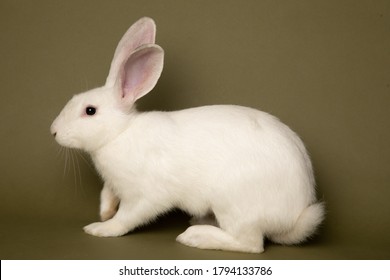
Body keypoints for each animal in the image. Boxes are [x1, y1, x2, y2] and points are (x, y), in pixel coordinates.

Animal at [52, 17, 326, 254]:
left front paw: (101, 228)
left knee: (250, 243)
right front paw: (104, 213)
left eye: (90, 111)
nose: (53, 131)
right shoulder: (114, 185)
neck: (120, 133)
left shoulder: (144, 195)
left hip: (234, 202)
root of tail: (295, 215)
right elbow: (107, 194)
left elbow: (128, 217)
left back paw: (195, 236)